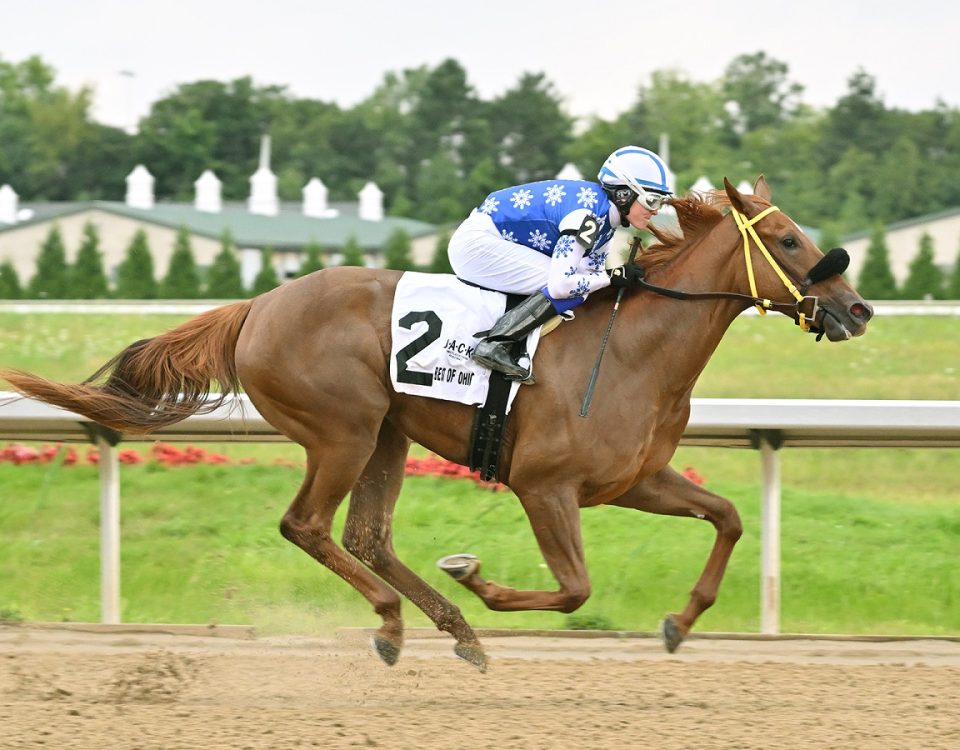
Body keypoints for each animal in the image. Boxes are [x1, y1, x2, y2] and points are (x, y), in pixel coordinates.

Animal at [1, 179, 872, 672]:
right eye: (789, 240)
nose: (858, 309)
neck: (636, 346)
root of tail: (260, 304)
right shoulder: (544, 485)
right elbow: (574, 587)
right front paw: (477, 576)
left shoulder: (633, 479)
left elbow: (726, 518)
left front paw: (678, 623)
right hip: (344, 432)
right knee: (307, 526)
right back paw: (402, 620)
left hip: (387, 433)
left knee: (366, 537)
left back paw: (445, 629)